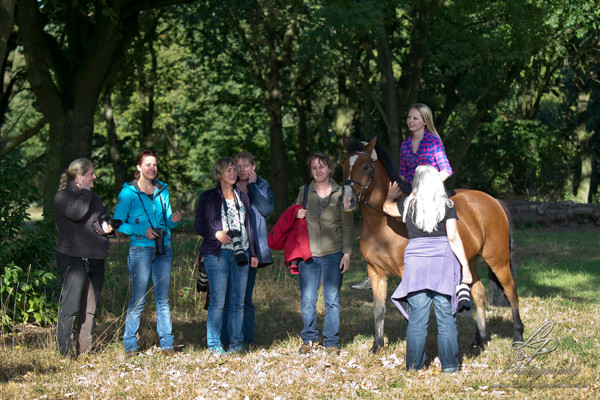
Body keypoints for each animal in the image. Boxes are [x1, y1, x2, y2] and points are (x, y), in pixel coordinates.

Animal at [342, 138, 524, 354]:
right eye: (343, 166)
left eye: (365, 166)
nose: (347, 201)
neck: (383, 222)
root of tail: (493, 200)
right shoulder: (375, 271)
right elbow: (379, 309)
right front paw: (376, 345)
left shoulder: (407, 272)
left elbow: (411, 311)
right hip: (468, 262)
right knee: (479, 293)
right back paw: (478, 340)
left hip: (498, 260)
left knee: (511, 290)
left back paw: (518, 336)